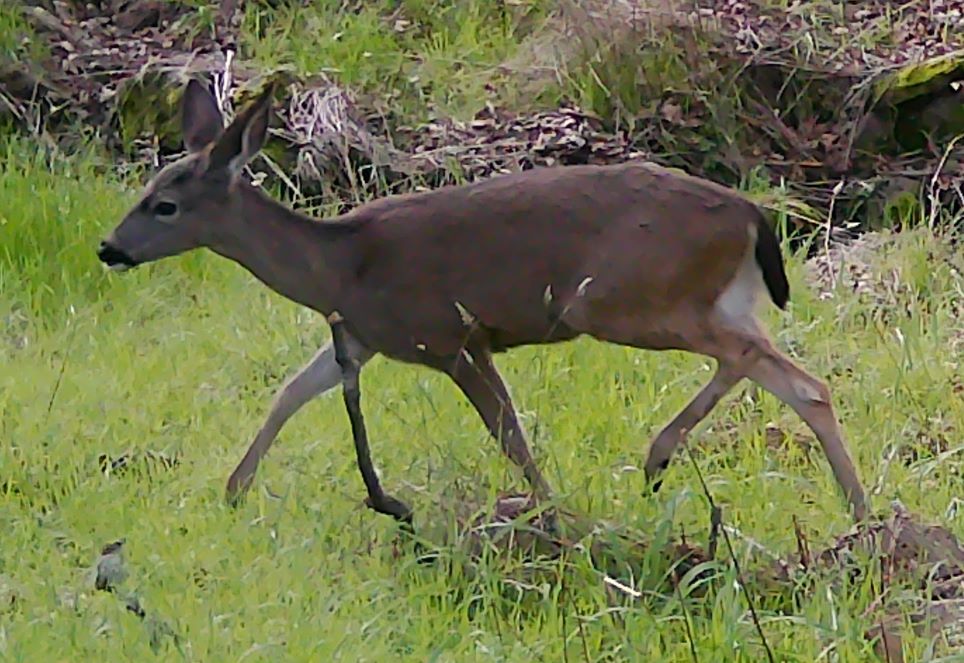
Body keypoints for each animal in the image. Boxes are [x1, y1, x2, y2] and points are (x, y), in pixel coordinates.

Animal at [96, 78, 869, 530]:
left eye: (165, 204)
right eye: (146, 190)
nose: (108, 248)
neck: (339, 267)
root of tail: (750, 214)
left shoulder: (449, 336)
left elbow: (509, 434)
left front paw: (550, 513)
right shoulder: (362, 337)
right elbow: (289, 391)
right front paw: (233, 489)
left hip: (620, 299)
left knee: (766, 366)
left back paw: (664, 456)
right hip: (709, 299)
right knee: (793, 375)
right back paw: (850, 509)